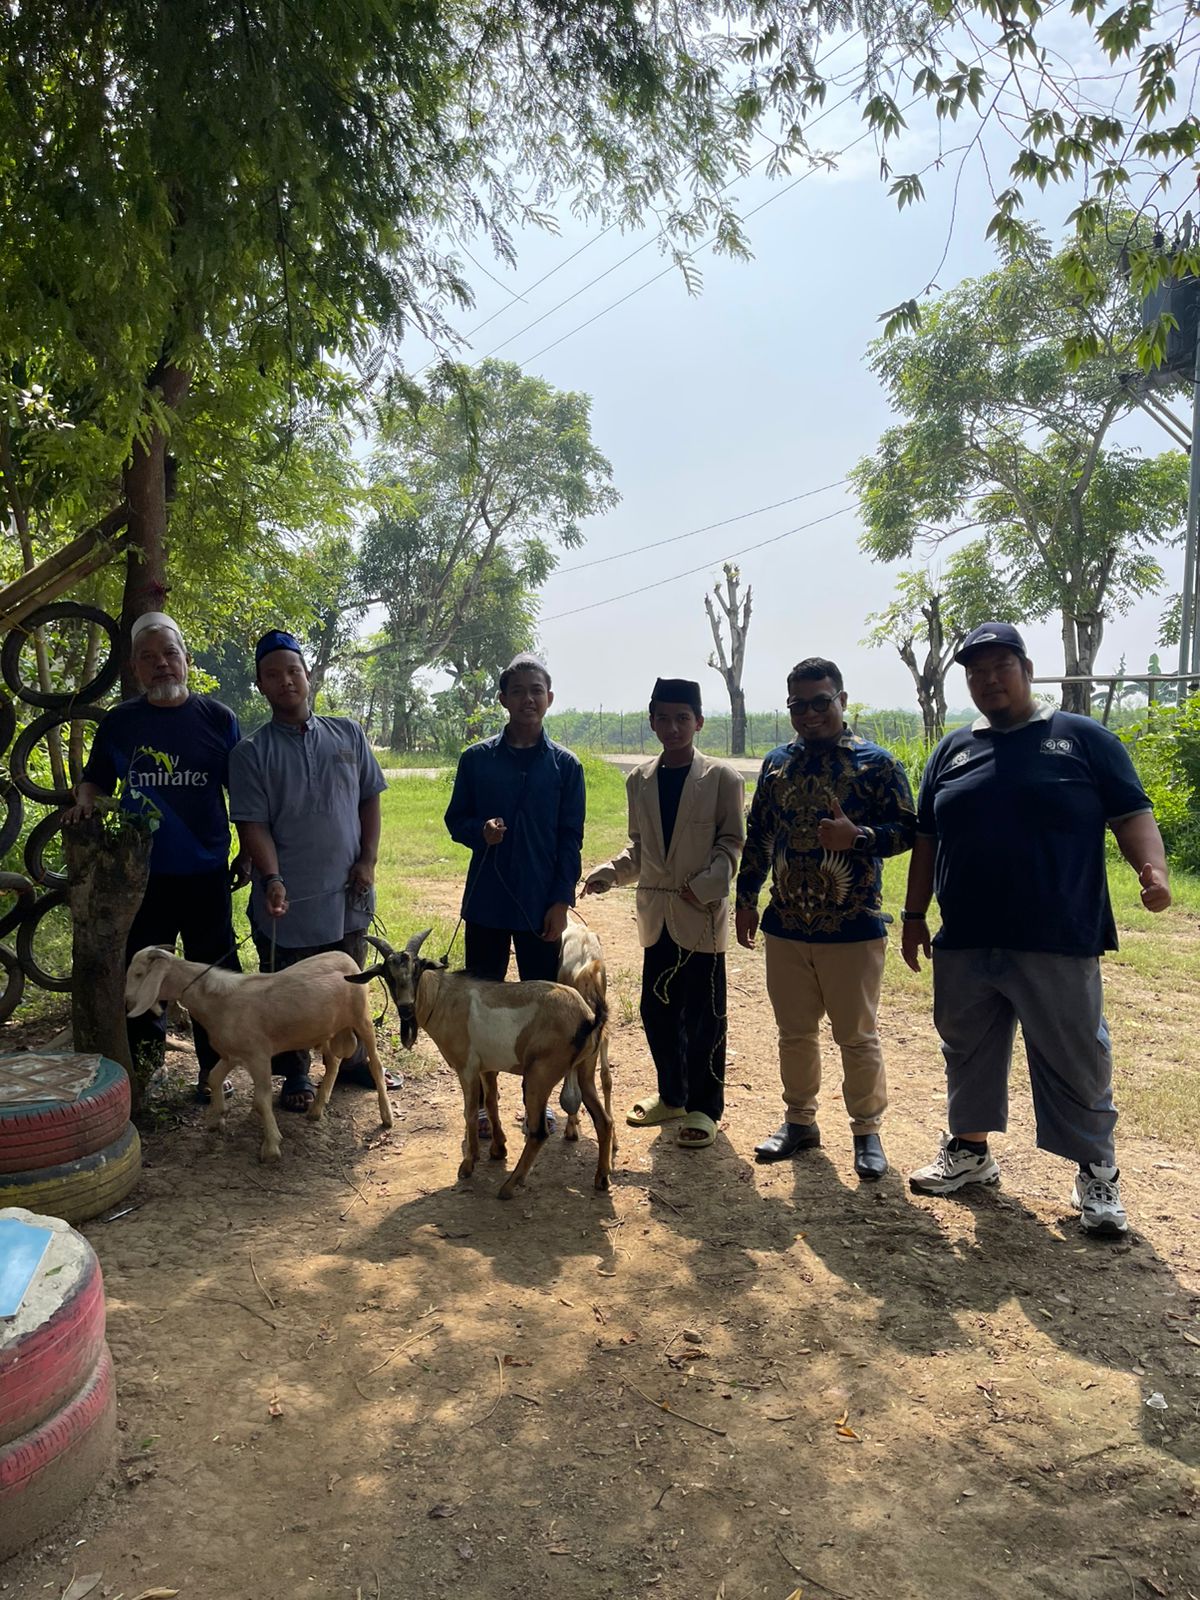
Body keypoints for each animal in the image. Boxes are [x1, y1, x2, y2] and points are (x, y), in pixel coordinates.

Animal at [124, 946, 394, 1162]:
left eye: (138, 974)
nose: (128, 1002)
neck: (219, 1003)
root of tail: (347, 957)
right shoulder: (232, 1054)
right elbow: (214, 1077)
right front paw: (216, 1118)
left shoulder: (259, 1055)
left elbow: (261, 1100)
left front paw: (271, 1147)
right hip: (326, 1029)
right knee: (334, 1061)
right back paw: (316, 1109)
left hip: (362, 1018)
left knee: (376, 1065)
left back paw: (386, 1116)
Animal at [346, 928, 613, 1198]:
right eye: (388, 975)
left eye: (417, 969)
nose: (406, 1007)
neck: (441, 997)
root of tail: (589, 1018)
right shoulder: (488, 1067)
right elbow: (492, 1103)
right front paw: (498, 1149)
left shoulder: (467, 1067)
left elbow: (470, 1112)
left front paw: (468, 1164)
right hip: (585, 1070)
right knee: (604, 1121)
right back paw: (601, 1178)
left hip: (540, 1075)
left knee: (539, 1132)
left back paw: (509, 1186)